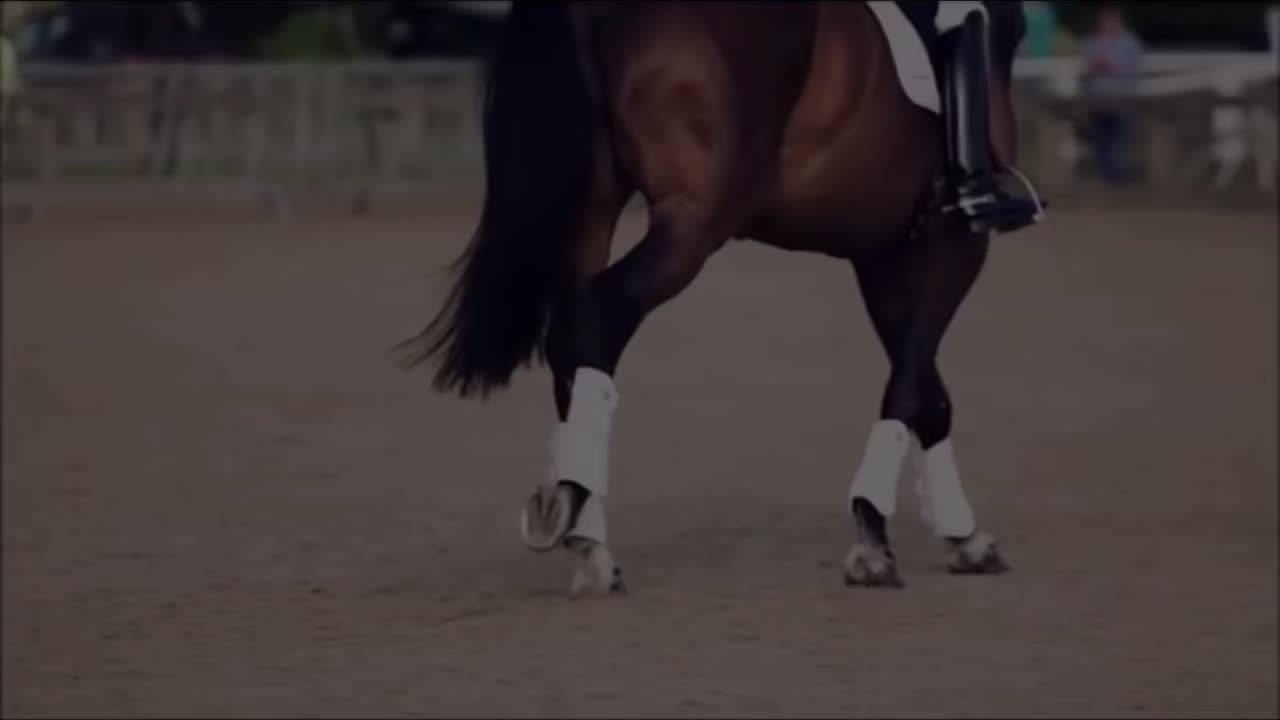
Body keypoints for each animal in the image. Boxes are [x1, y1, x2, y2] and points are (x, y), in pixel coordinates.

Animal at [398, 0, 1034, 594]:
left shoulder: (880, 251)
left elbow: (926, 387)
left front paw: (961, 537)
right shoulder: (952, 242)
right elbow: (912, 383)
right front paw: (876, 539)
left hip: (593, 210)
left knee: (573, 344)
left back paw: (590, 539)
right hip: (693, 223)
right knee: (600, 317)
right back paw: (579, 527)